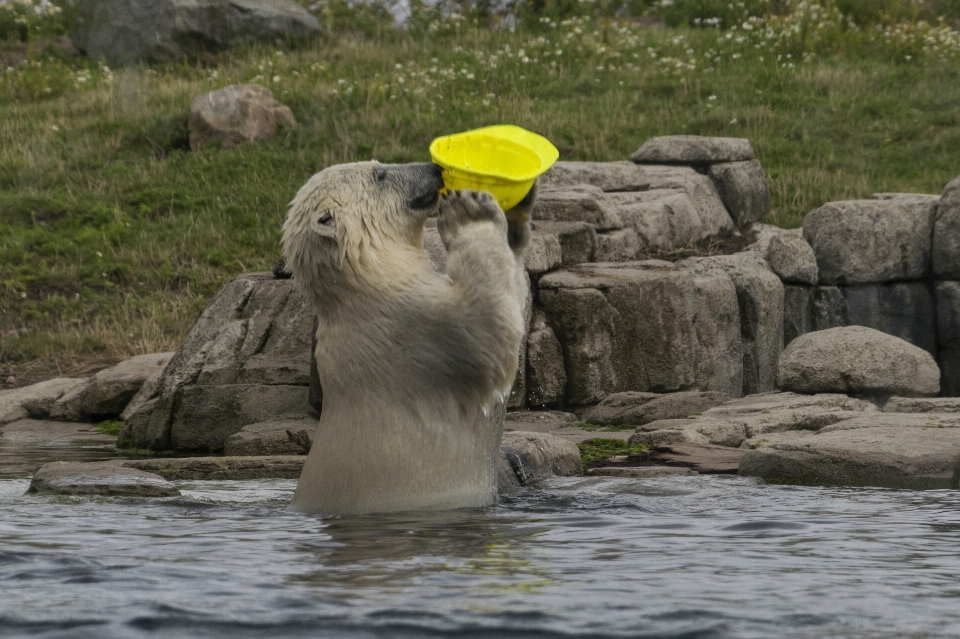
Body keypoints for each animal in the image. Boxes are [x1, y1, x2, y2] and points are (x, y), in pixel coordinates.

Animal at [280, 161, 532, 516]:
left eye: (380, 165)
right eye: (380, 175)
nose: (434, 167)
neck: (369, 281)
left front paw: (518, 214)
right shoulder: (418, 327)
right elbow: (490, 330)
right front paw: (470, 209)